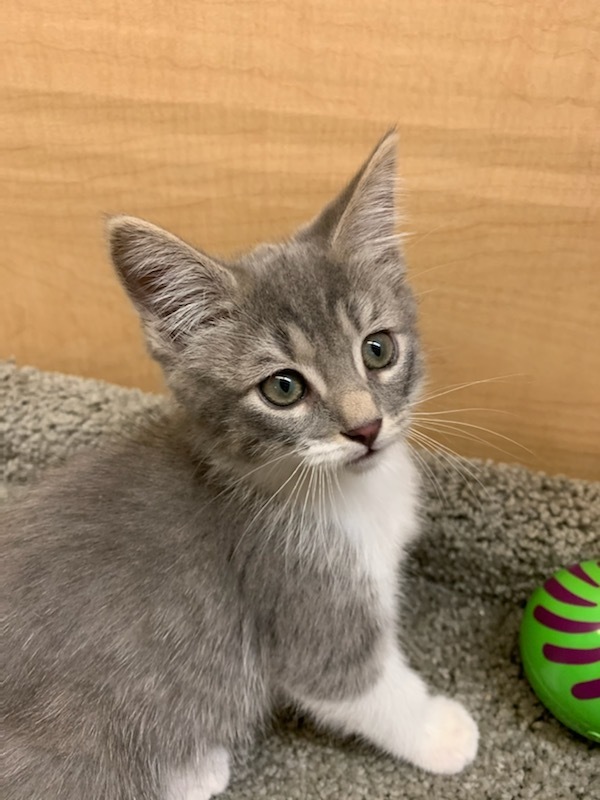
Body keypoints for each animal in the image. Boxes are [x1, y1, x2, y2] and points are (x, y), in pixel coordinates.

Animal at [1, 134, 478, 796]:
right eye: (283, 388)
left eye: (378, 349)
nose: (365, 427)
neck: (351, 494)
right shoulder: (300, 591)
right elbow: (359, 684)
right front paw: (442, 732)